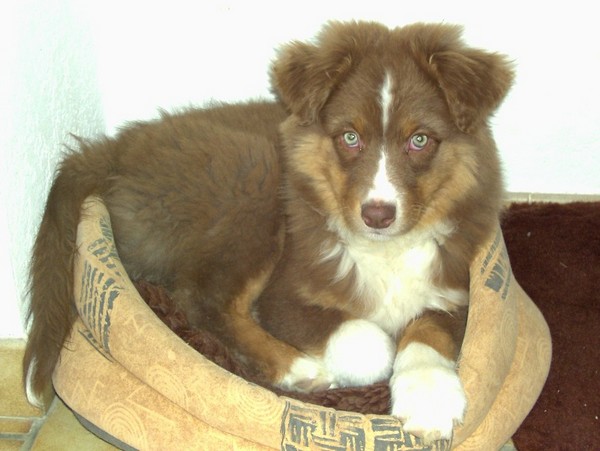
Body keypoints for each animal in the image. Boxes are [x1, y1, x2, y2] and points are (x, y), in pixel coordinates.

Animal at [24, 21, 513, 441]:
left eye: (420, 140)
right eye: (350, 137)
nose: (377, 214)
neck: (384, 250)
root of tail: (118, 147)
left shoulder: (456, 287)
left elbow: (428, 330)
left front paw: (430, 398)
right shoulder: (286, 293)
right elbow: (370, 341)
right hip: (257, 177)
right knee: (202, 299)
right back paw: (296, 368)